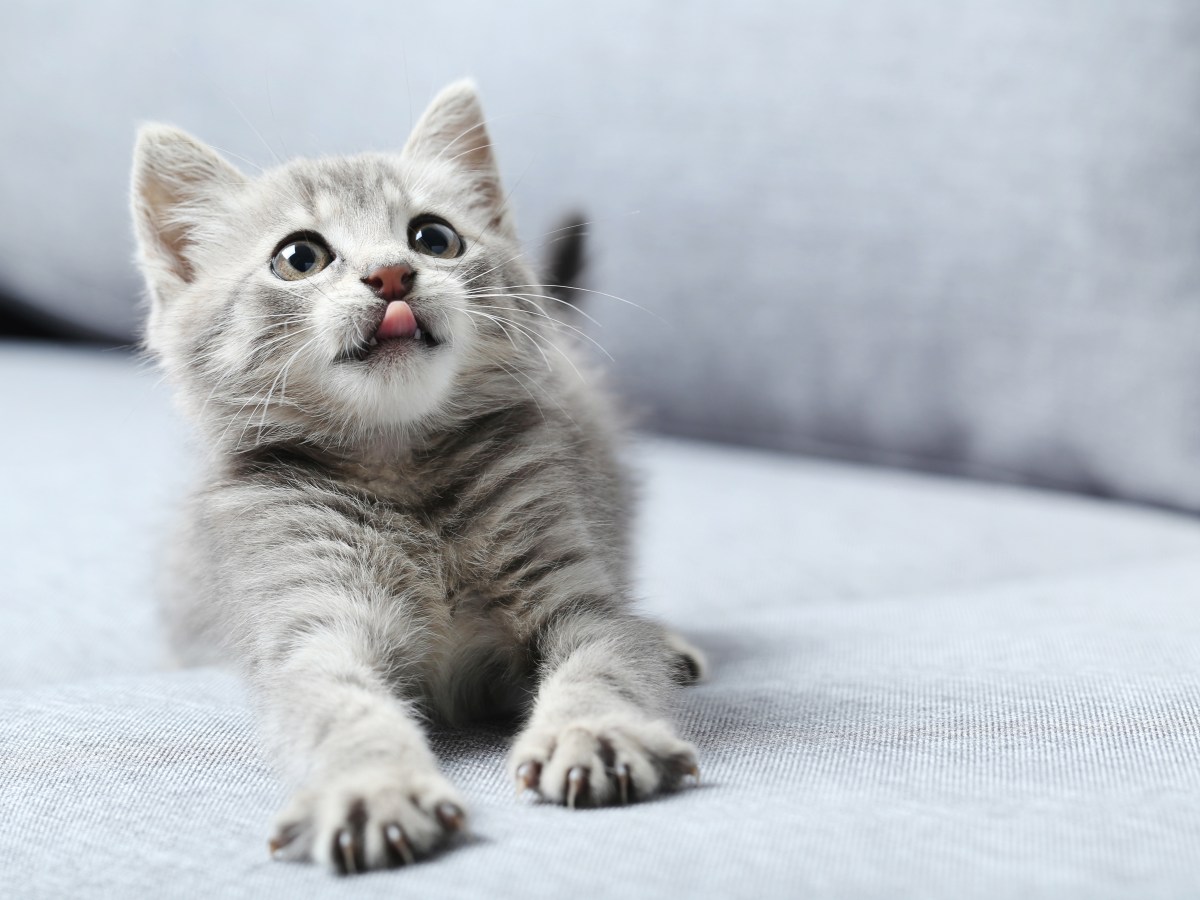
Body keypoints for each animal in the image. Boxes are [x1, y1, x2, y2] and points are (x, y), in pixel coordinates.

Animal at [133, 81, 700, 878]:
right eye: (299, 256)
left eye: (434, 238)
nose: (392, 273)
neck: (402, 472)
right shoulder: (312, 622)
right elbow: (340, 705)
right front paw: (374, 786)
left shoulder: (575, 592)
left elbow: (606, 659)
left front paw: (594, 731)